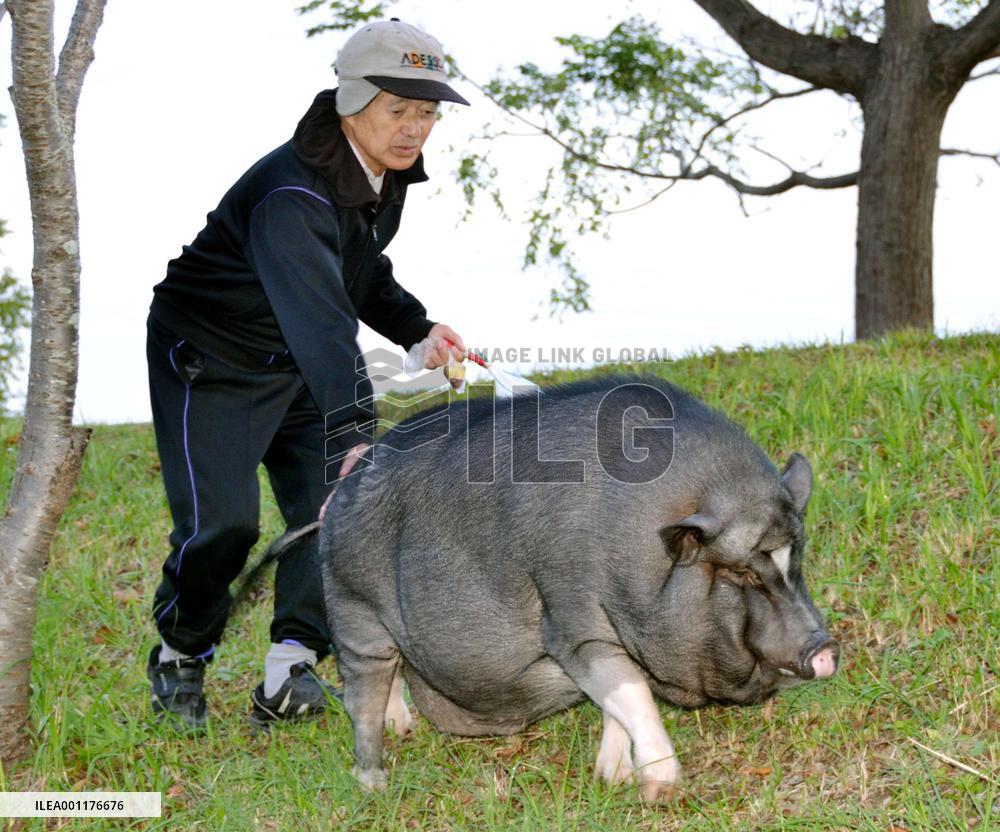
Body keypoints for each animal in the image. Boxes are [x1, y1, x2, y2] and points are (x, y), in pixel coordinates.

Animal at [319, 375, 838, 801]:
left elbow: (616, 699)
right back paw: (373, 784)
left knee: (394, 676)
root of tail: (344, 485)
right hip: (353, 612)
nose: (826, 649)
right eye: (741, 572)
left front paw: (613, 777)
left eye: (796, 558)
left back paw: (402, 729)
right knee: (362, 694)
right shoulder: (571, 620)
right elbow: (632, 691)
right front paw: (660, 788)